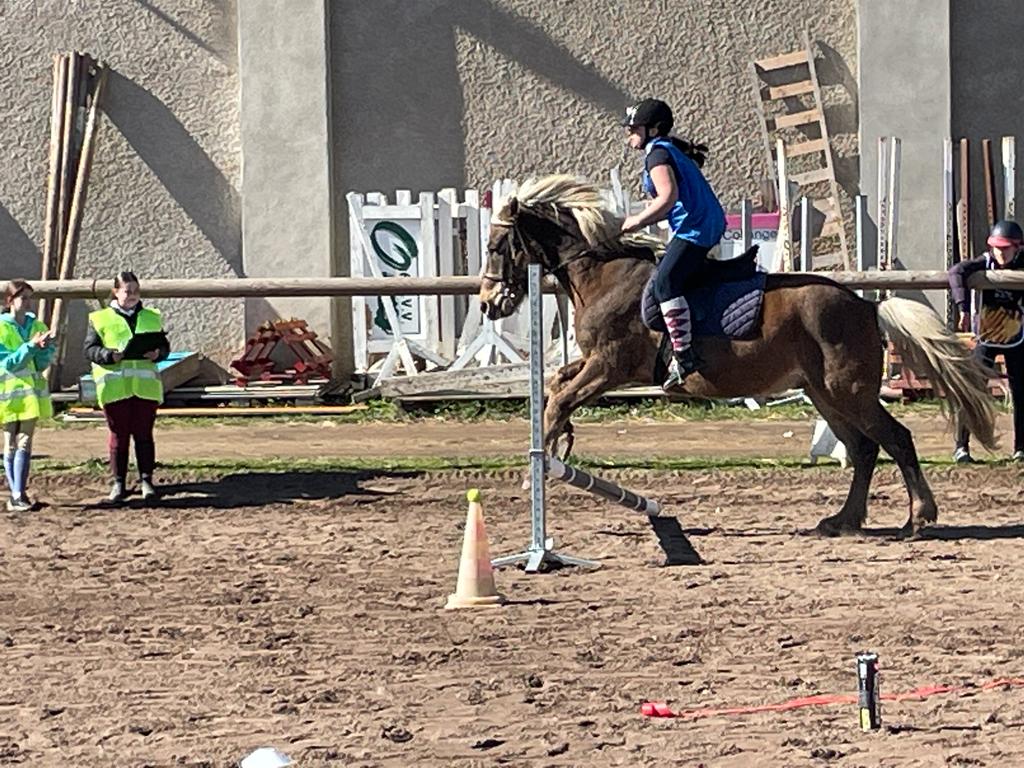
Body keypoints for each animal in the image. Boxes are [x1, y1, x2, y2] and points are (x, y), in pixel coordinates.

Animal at [478, 175, 997, 536]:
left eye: (497, 244)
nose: (487, 303)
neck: (604, 274)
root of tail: (866, 305)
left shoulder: (610, 367)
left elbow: (563, 398)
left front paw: (537, 470)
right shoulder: (595, 365)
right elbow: (556, 387)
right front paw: (555, 445)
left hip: (848, 391)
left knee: (896, 440)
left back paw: (918, 518)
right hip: (824, 393)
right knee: (865, 448)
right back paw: (843, 520)